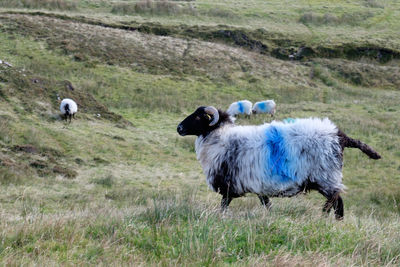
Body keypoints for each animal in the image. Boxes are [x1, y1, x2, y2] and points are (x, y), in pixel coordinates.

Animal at [178, 105, 382, 221]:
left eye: (199, 117)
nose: (179, 128)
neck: (220, 138)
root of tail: (339, 136)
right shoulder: (258, 185)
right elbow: (266, 204)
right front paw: (271, 217)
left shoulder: (229, 184)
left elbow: (223, 205)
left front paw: (220, 218)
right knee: (337, 200)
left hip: (326, 176)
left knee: (336, 200)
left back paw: (326, 218)